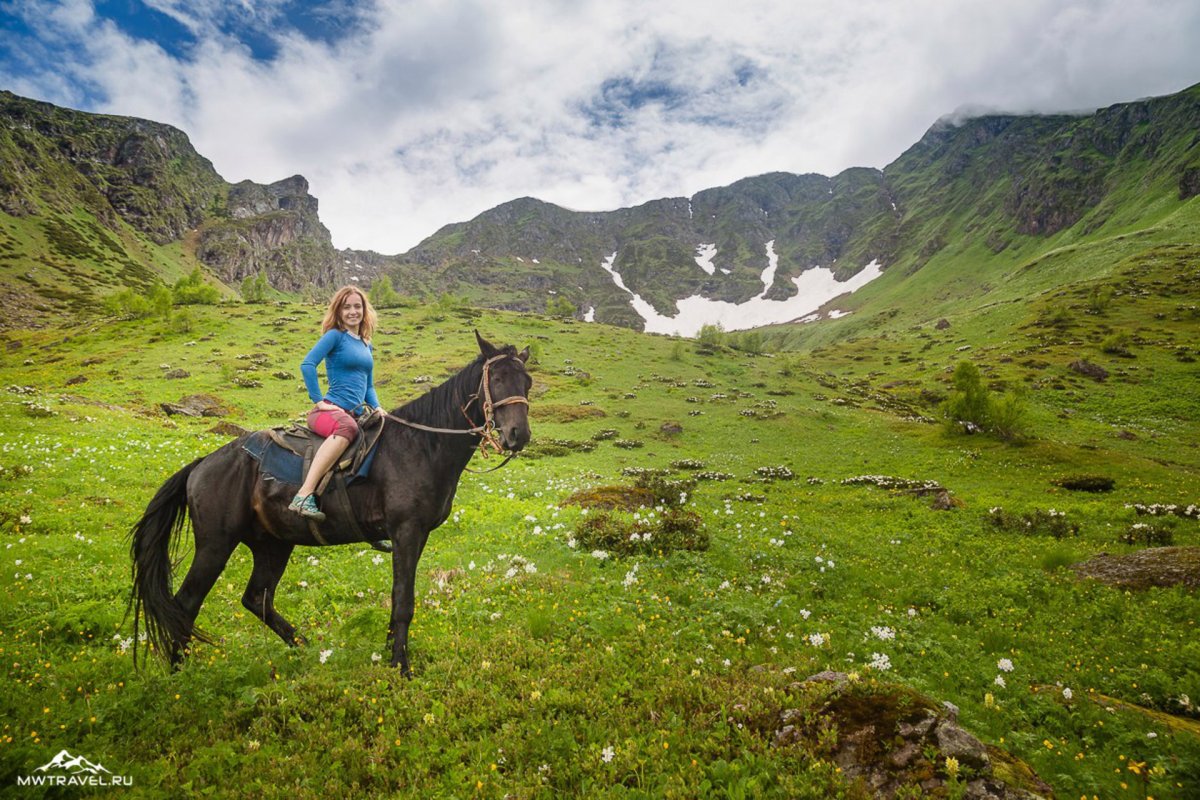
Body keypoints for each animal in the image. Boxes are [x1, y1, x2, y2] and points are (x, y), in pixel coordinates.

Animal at [127, 331, 535, 676]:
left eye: (527, 382)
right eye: (497, 379)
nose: (518, 435)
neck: (422, 445)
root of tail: (202, 465)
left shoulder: (414, 537)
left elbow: (398, 600)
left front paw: (389, 654)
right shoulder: (406, 532)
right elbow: (403, 600)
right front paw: (401, 667)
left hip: (272, 545)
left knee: (257, 599)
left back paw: (307, 648)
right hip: (215, 546)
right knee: (185, 605)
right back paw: (180, 676)